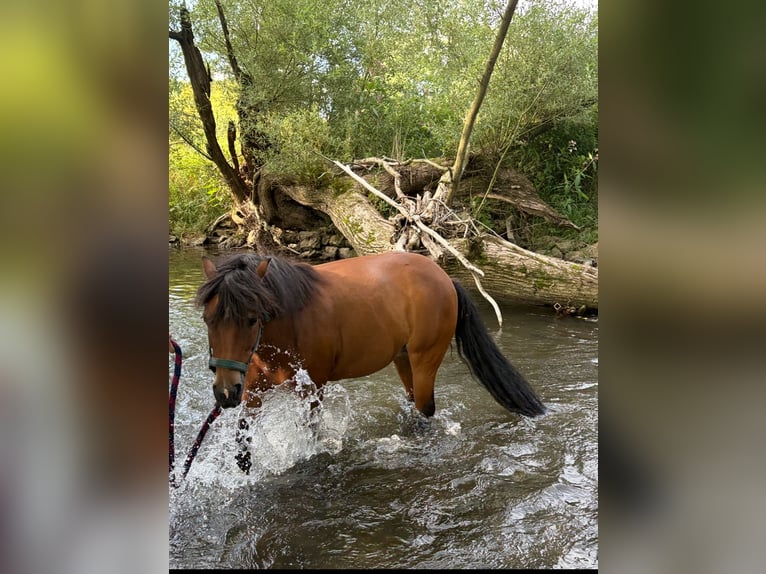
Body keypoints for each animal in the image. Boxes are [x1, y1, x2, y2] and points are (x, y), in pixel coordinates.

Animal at [195, 251, 545, 427]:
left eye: (252, 319)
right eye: (208, 319)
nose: (225, 392)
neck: (291, 320)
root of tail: (446, 278)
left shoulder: (312, 389)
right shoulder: (253, 387)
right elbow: (243, 443)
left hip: (425, 359)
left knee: (425, 408)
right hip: (402, 359)